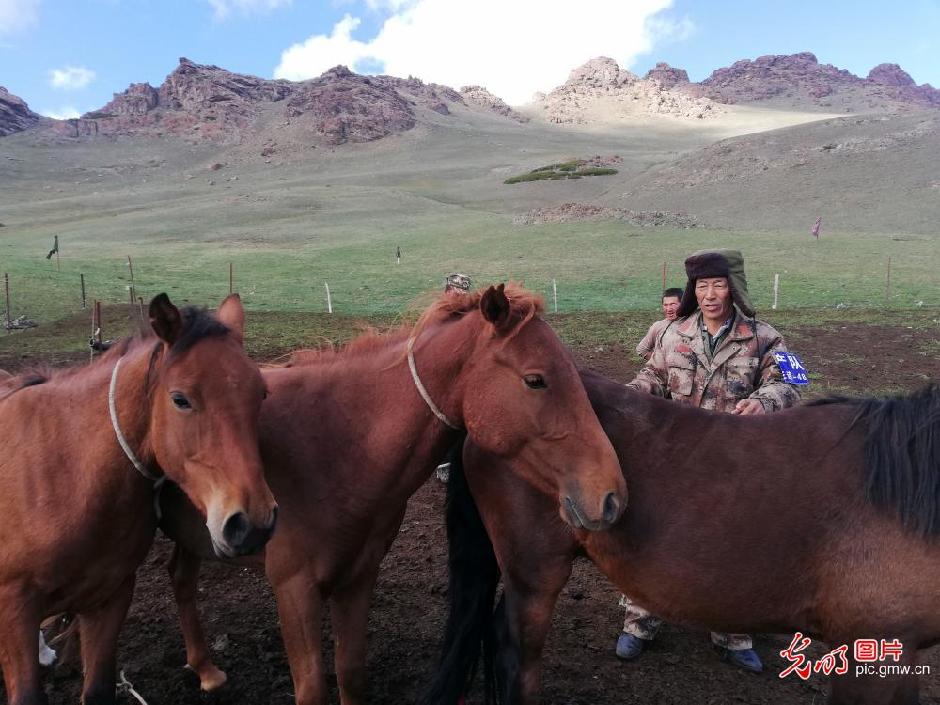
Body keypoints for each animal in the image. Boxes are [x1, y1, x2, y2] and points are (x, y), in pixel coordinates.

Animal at [0, 292, 278, 704]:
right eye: (180, 399)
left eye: (260, 393)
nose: (252, 524)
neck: (65, 472)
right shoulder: (15, 610)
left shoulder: (109, 597)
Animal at [158, 284, 628, 704]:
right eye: (536, 380)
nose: (612, 495)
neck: (330, 447)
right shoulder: (293, 589)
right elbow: (312, 689)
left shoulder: (358, 577)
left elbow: (351, 674)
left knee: (180, 578)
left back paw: (205, 669)